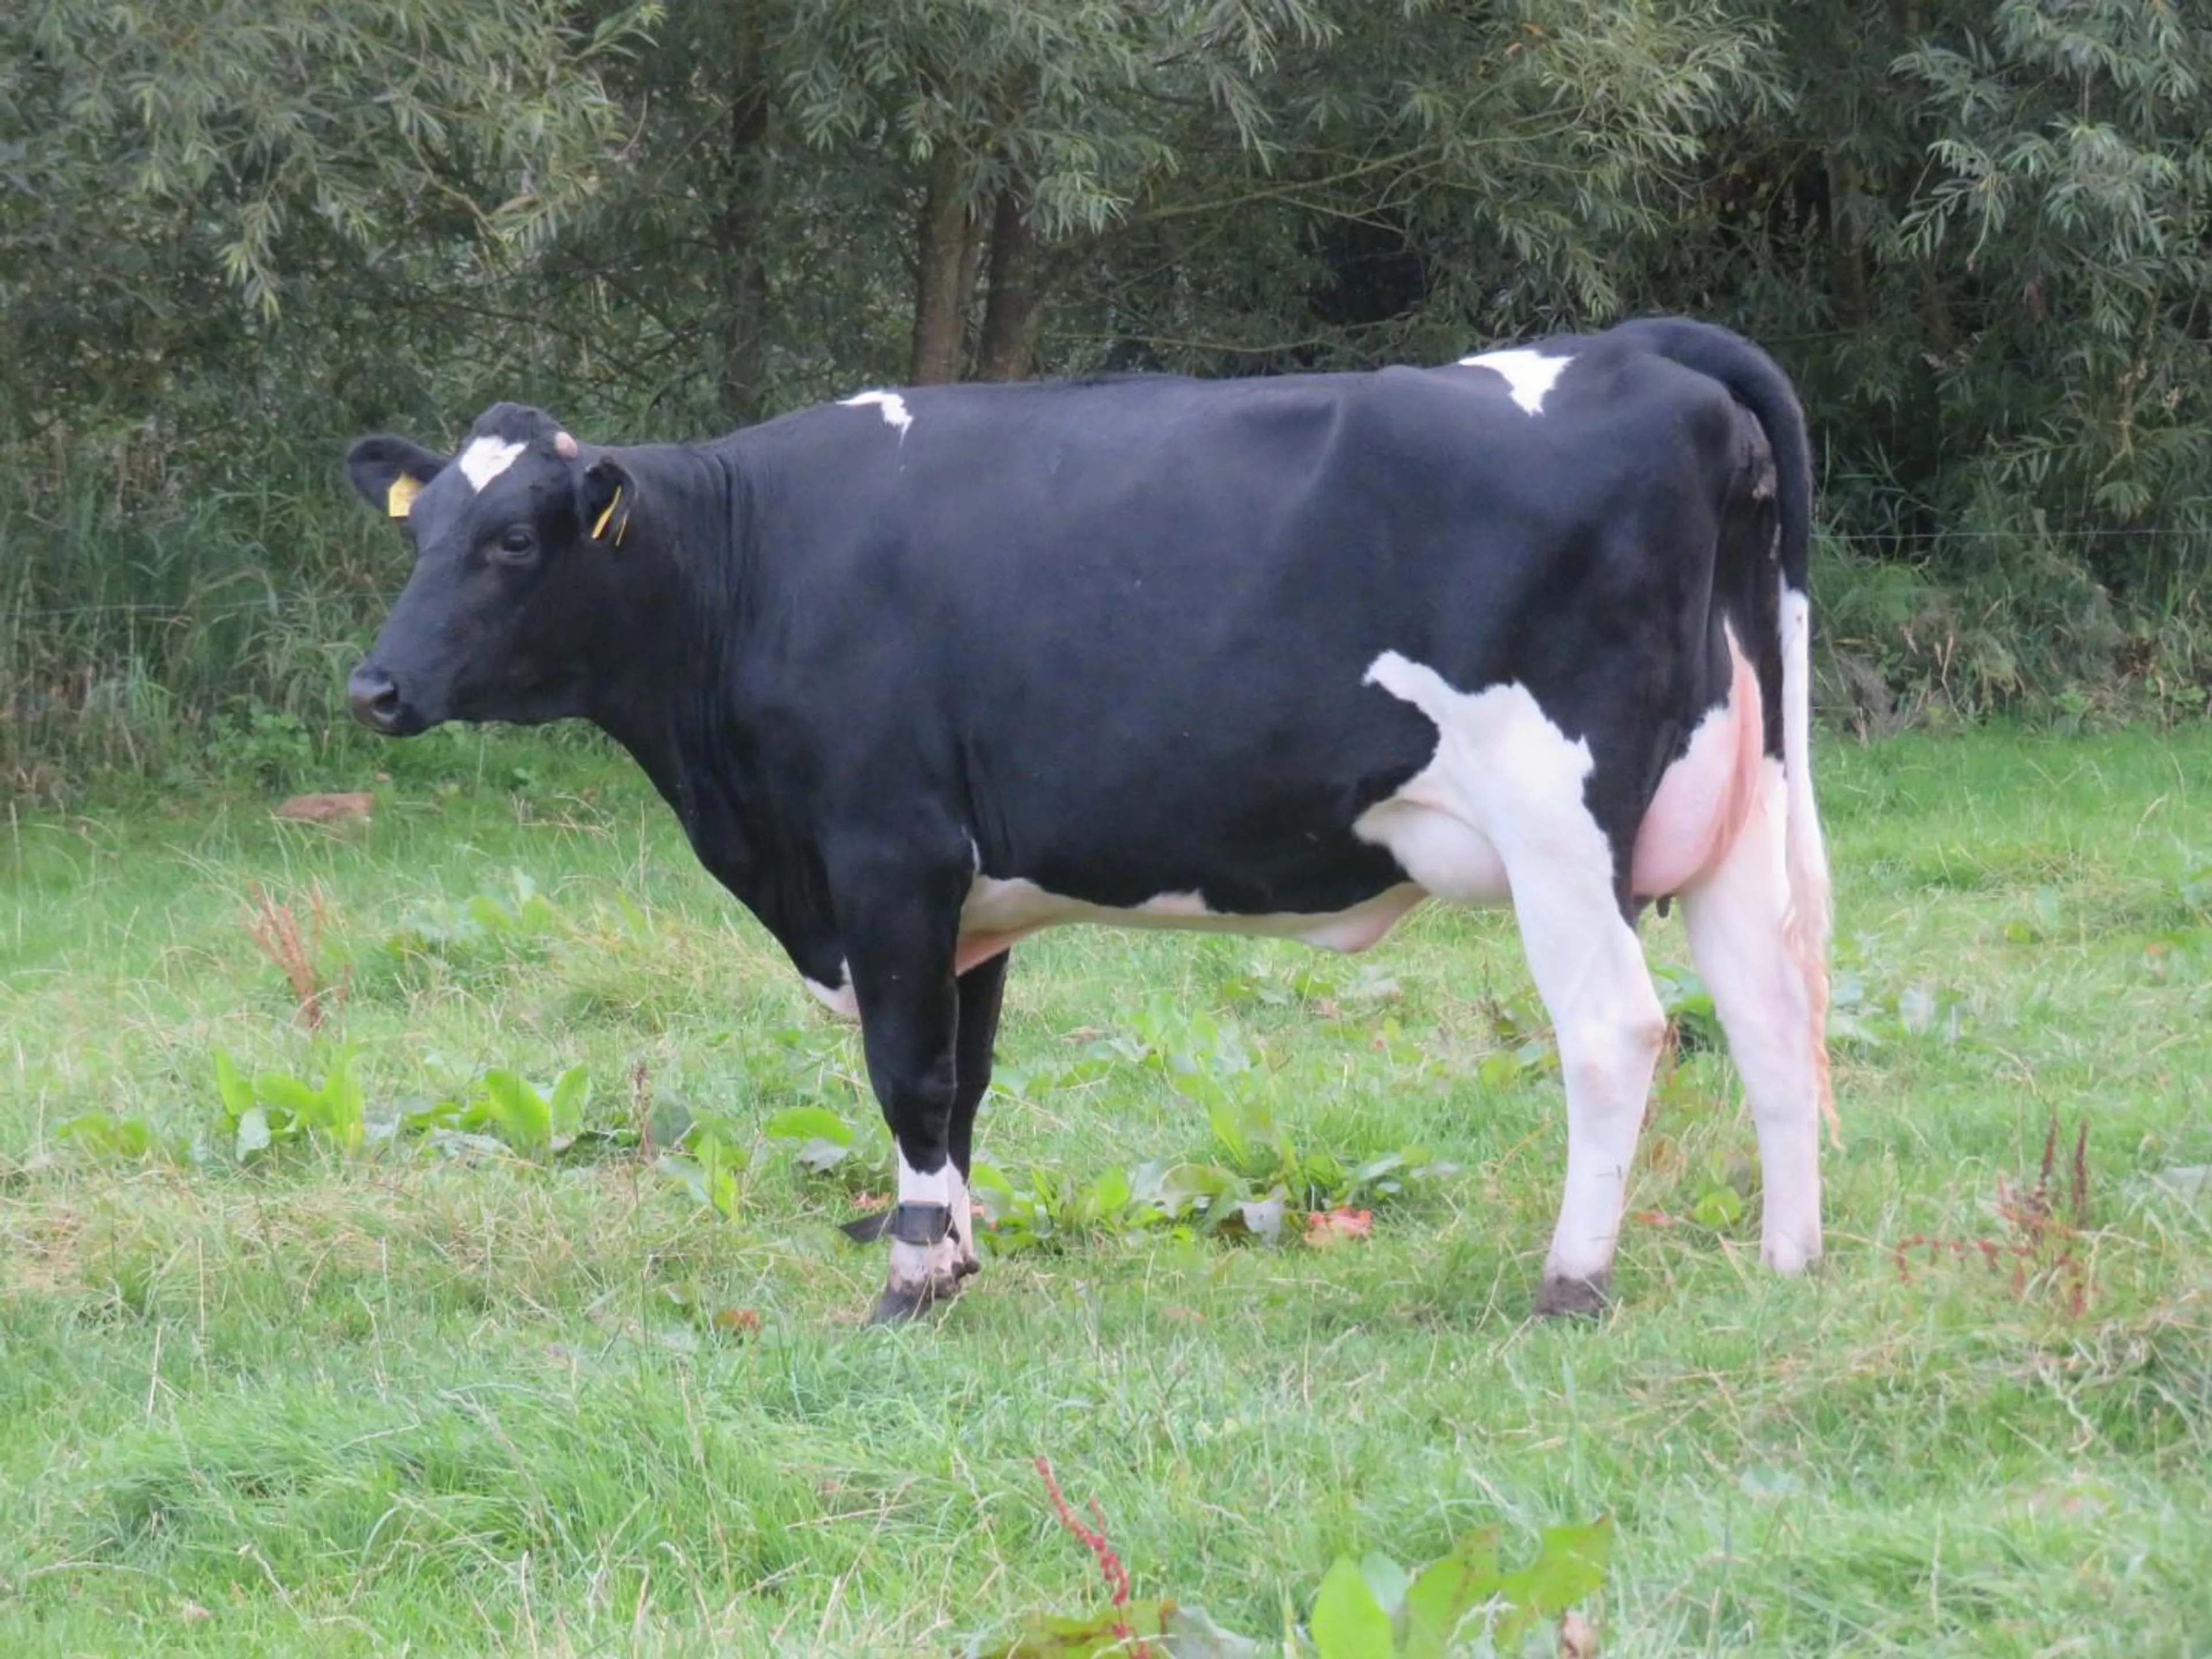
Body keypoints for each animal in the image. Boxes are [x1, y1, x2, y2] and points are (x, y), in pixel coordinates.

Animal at [343, 317, 1832, 1324]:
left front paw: (907, 1284)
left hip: (1555, 826)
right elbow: (965, 1080)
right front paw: (950, 1252)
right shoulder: (970, 893)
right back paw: (1787, 1260)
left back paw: (1571, 1280)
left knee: (1617, 1030)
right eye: (418, 537)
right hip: (1732, 800)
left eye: (513, 543)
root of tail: (1637, 350)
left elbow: (909, 1072)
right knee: (1770, 1011)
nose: (375, 685)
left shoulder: (887, 854)